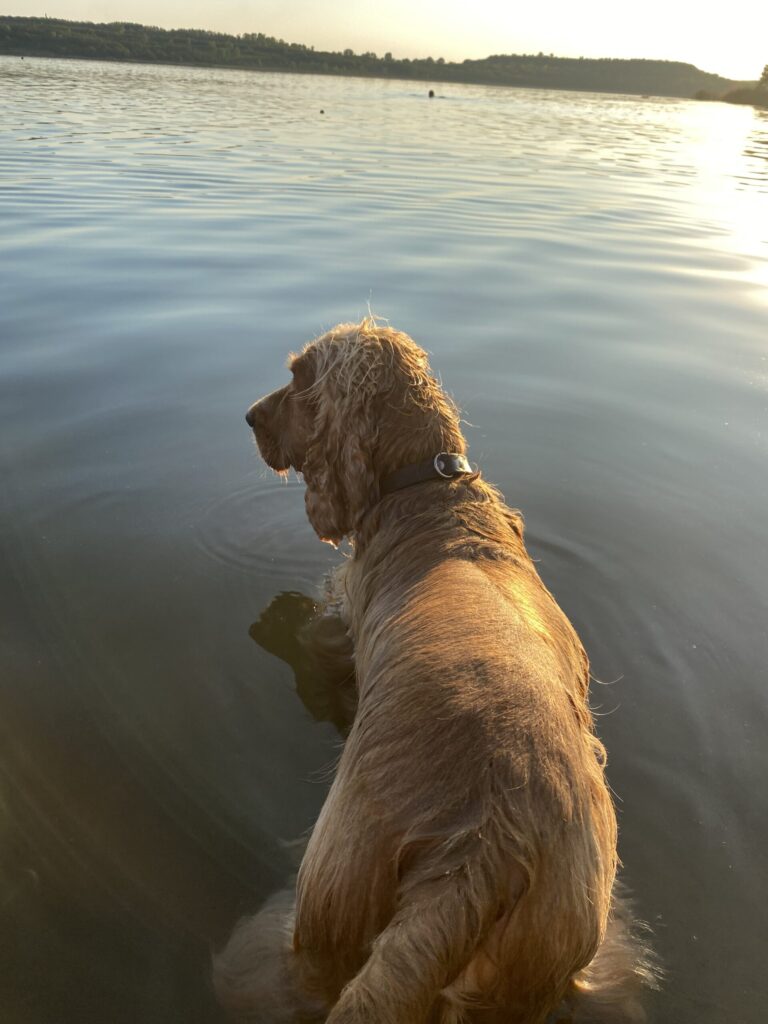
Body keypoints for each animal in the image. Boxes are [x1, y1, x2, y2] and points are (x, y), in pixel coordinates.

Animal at [217, 319, 663, 1024]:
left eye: (298, 377)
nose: (250, 416)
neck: (431, 487)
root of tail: (482, 855)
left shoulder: (335, 624)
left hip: (331, 885)